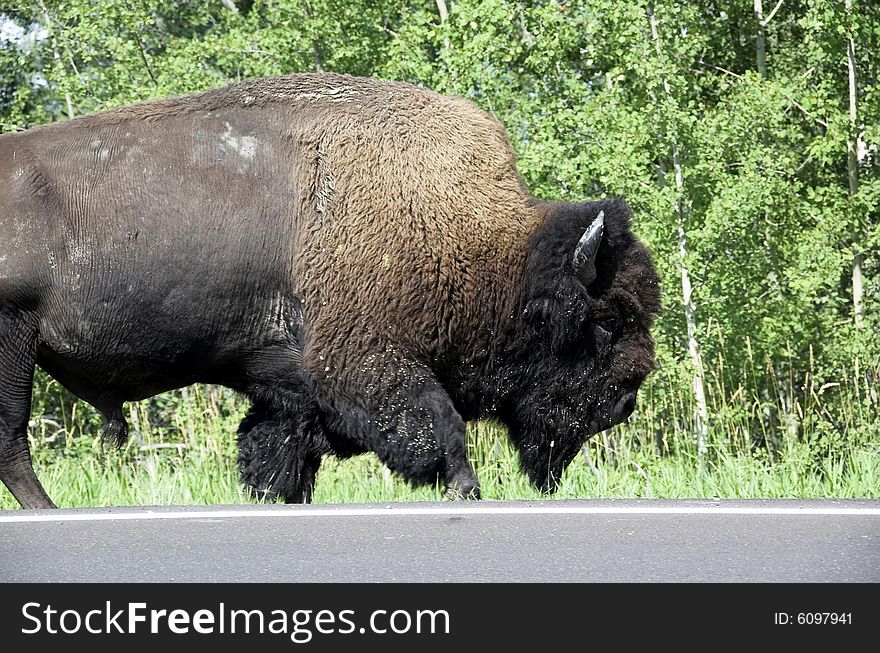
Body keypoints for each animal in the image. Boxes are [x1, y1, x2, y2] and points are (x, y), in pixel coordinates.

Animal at [0, 72, 660, 510]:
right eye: (605, 322)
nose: (628, 396)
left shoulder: (288, 386)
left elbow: (277, 453)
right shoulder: (365, 359)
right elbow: (438, 423)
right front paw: (467, 490)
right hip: (15, 341)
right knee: (12, 439)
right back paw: (49, 511)